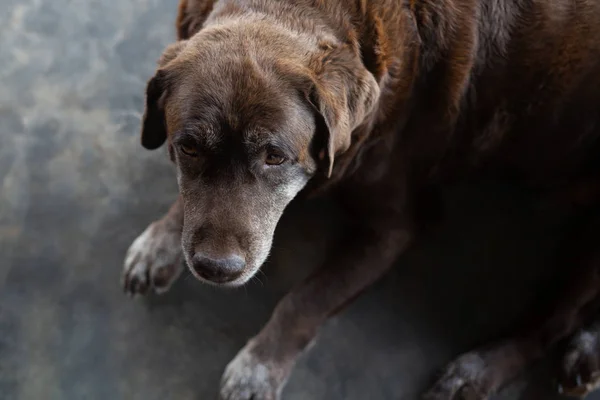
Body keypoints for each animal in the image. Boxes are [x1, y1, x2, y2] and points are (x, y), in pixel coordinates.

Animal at [120, 0, 600, 398]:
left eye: (275, 156)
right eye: (188, 147)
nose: (216, 269)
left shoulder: (396, 227)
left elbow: (308, 297)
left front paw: (258, 366)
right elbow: (189, 204)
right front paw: (160, 239)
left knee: (554, 321)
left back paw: (483, 370)